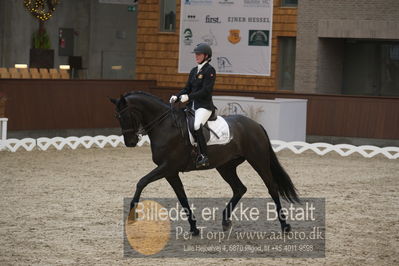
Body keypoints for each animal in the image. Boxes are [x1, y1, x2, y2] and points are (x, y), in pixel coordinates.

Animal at [110, 91, 300, 235]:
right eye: (117, 117)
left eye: (125, 116)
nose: (130, 142)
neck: (165, 125)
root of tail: (256, 125)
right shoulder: (170, 172)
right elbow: (182, 197)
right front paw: (194, 228)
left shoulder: (167, 167)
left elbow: (141, 182)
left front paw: (132, 215)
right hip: (225, 166)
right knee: (239, 188)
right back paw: (225, 221)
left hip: (258, 160)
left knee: (272, 187)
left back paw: (285, 226)